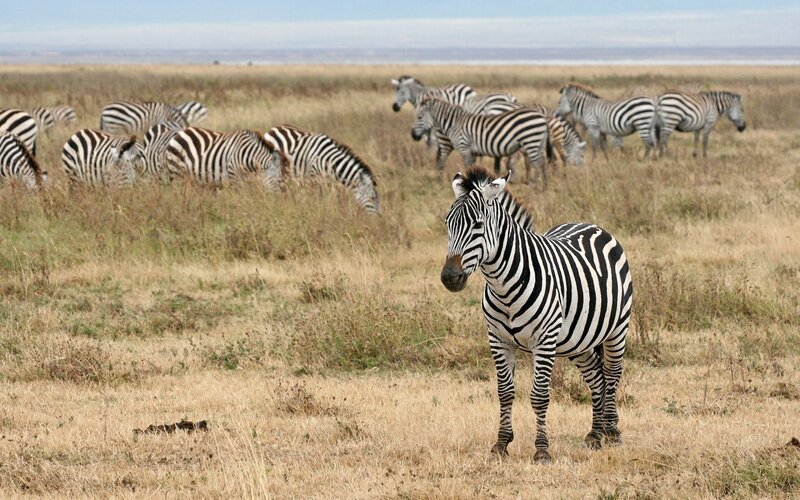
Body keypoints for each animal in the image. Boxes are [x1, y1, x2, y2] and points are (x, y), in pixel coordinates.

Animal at [412, 97, 550, 184]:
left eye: (419, 117)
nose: (413, 135)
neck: (454, 122)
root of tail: (542, 116)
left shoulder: (464, 147)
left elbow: (467, 167)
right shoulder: (472, 151)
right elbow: (472, 167)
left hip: (531, 141)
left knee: (538, 164)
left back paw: (534, 186)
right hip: (538, 142)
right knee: (542, 162)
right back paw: (543, 186)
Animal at [440, 167, 632, 462]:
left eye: (478, 225)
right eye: (447, 224)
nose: (450, 277)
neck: (504, 286)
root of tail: (590, 225)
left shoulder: (544, 339)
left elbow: (540, 395)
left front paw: (542, 449)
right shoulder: (498, 339)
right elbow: (505, 392)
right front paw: (501, 444)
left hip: (617, 329)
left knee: (611, 374)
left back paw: (611, 432)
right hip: (578, 341)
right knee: (596, 377)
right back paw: (595, 434)